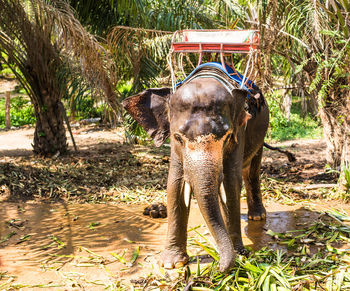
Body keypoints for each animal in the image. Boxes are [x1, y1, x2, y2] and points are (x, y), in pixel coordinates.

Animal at [121, 67, 270, 272]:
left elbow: (231, 183)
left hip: (261, 136)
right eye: (178, 137)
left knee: (252, 171)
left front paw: (239, 255)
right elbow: (175, 184)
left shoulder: (239, 132)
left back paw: (256, 216)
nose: (219, 266)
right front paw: (171, 263)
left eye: (227, 136)